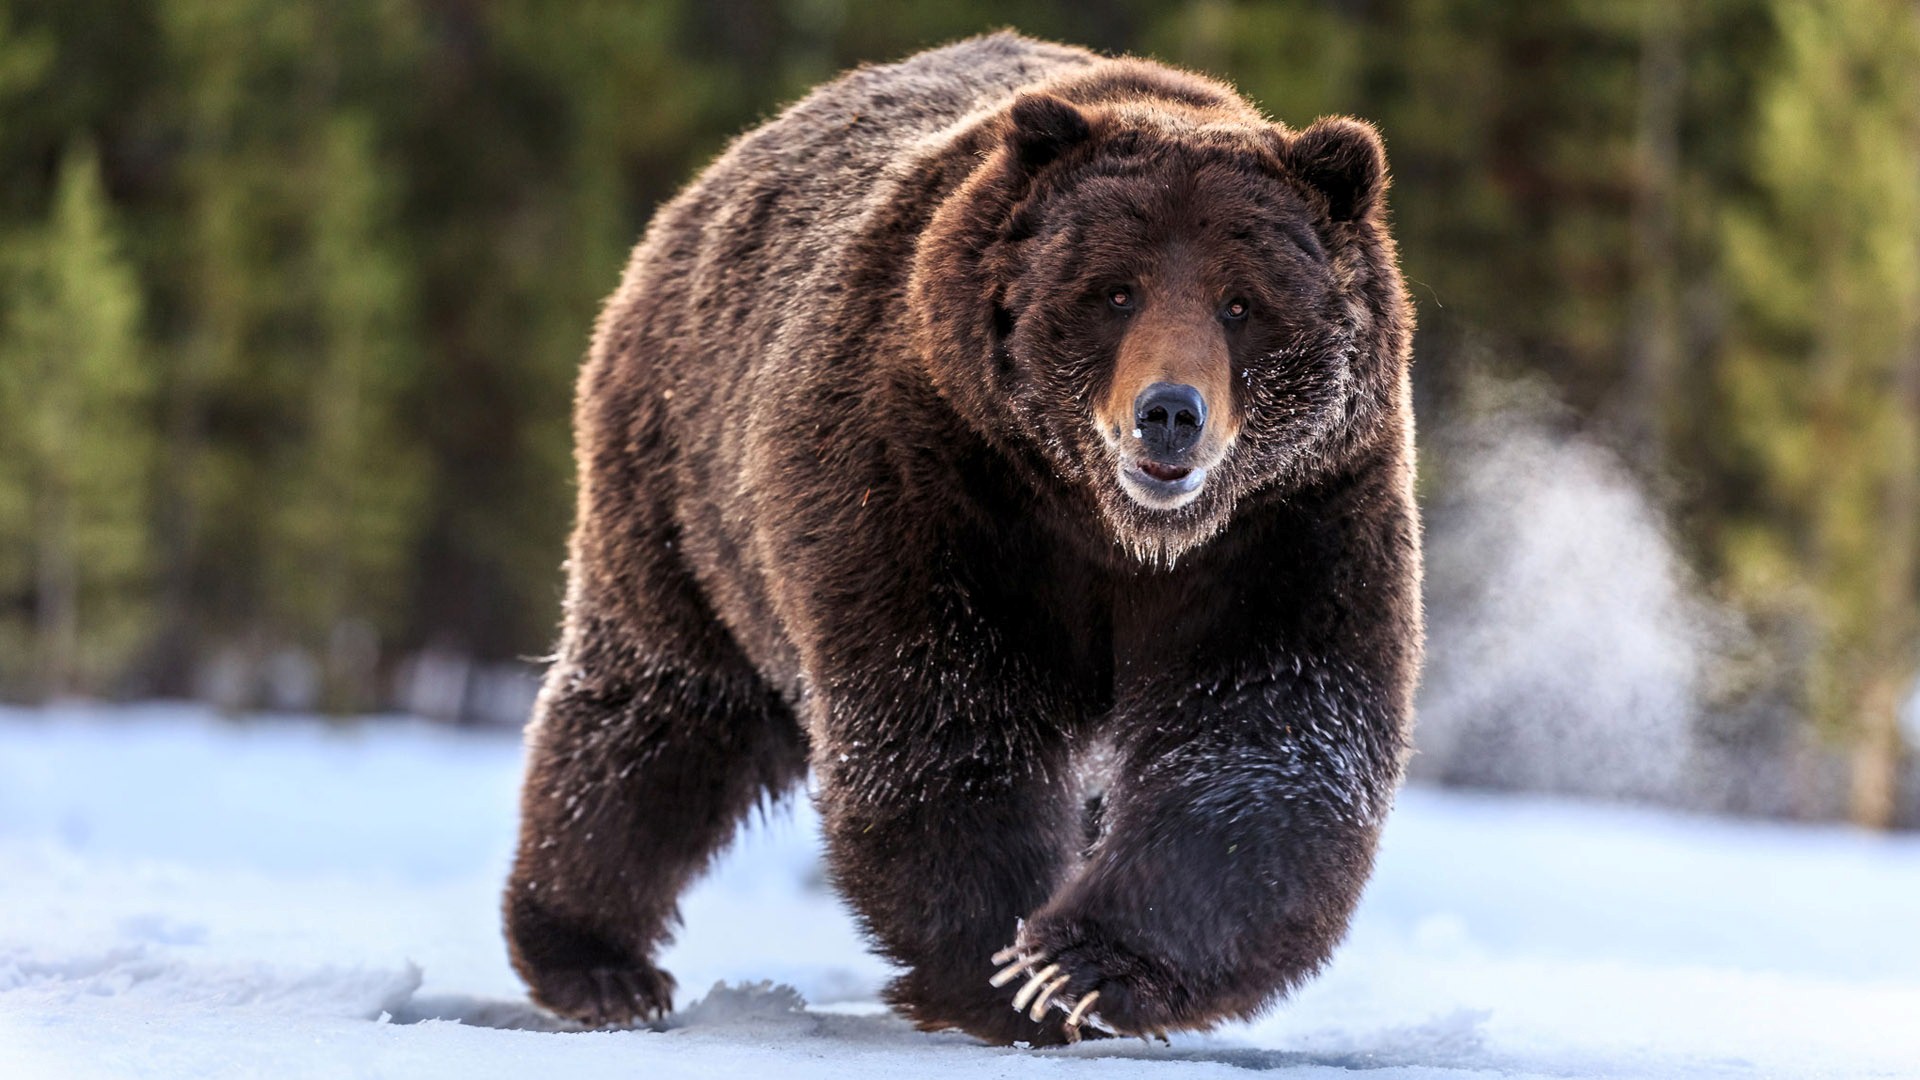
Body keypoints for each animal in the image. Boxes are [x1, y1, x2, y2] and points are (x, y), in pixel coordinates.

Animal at [503, 31, 1420, 1045]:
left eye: (1241, 302)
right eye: (1115, 291)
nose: (1170, 413)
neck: (1117, 531)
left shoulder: (1291, 522)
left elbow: (1264, 737)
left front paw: (1077, 966)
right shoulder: (933, 478)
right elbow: (946, 715)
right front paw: (1002, 964)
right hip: (683, 490)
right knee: (657, 714)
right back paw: (595, 960)